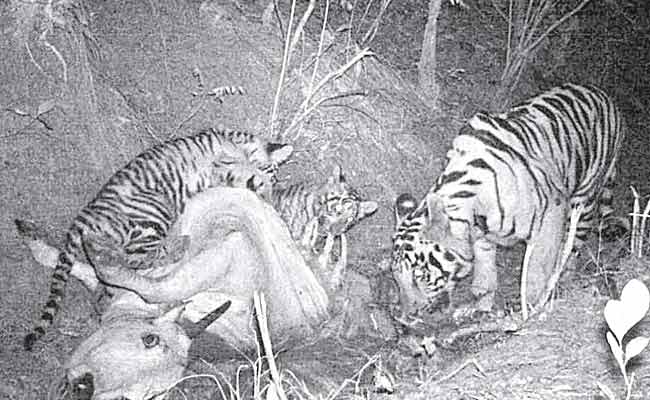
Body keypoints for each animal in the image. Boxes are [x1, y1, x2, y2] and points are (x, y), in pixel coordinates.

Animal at [23, 127, 293, 350]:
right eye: (271, 172)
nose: (273, 183)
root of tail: (85, 216)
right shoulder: (229, 166)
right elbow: (247, 175)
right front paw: (267, 196)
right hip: (154, 211)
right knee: (138, 260)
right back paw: (178, 246)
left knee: (118, 266)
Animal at [391, 83, 625, 317]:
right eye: (396, 277)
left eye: (419, 275)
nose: (403, 317)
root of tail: (604, 94)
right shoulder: (482, 239)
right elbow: (484, 279)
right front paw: (481, 309)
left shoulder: (550, 218)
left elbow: (535, 272)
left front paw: (529, 310)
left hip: (584, 198)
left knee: (575, 242)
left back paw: (564, 279)